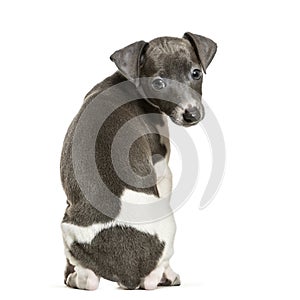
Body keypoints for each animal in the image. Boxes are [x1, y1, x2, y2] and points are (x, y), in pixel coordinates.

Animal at [60, 31, 216, 290]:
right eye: (158, 83)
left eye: (196, 73)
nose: (192, 114)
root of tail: (128, 272)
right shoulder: (162, 170)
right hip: (167, 225)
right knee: (155, 274)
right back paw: (167, 277)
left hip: (68, 226)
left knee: (88, 278)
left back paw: (74, 277)